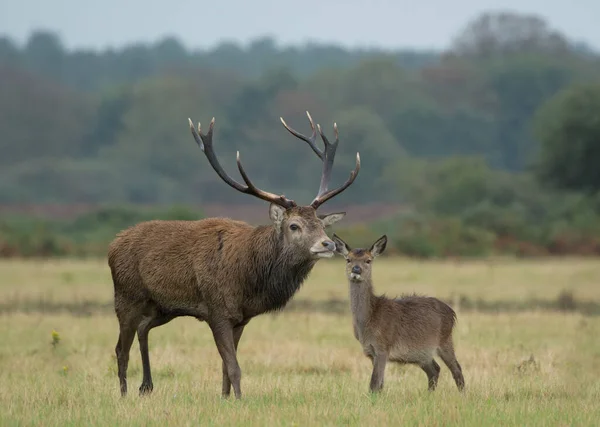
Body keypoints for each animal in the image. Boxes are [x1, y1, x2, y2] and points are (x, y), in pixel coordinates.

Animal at [332, 234, 464, 394]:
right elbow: (380, 384)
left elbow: (374, 383)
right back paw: (429, 395)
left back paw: (463, 395)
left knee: (456, 368)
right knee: (434, 369)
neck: (368, 321)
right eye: (348, 259)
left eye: (368, 260)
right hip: (422, 353)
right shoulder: (370, 351)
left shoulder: (383, 347)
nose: (356, 270)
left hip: (445, 340)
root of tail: (452, 312)